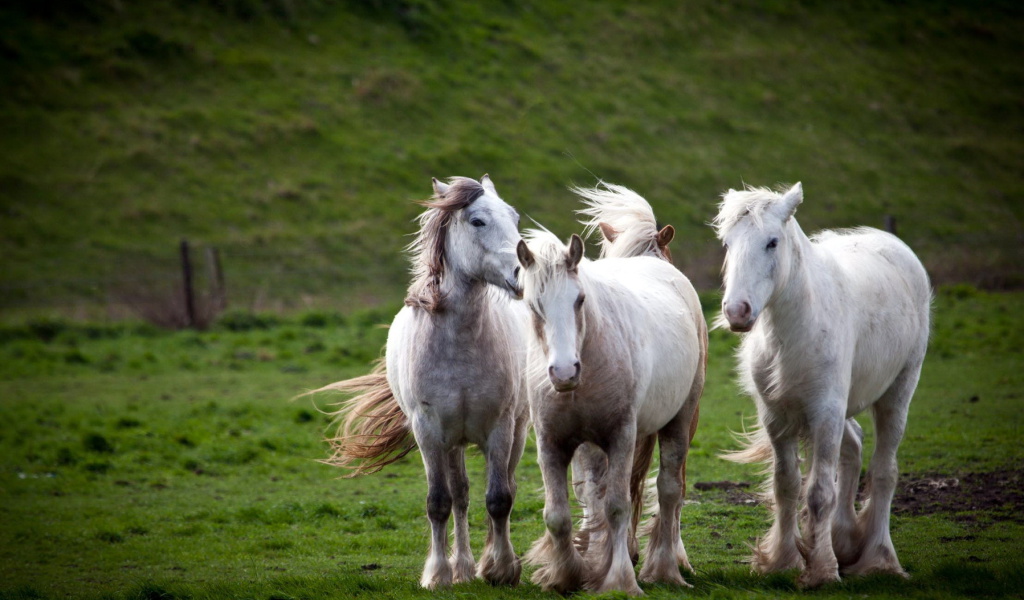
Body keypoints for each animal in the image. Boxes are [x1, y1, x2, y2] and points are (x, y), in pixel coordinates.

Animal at [315, 175, 532, 585]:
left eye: (514, 217)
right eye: (477, 221)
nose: (523, 274)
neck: (460, 345)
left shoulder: (501, 426)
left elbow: (500, 498)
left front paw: (501, 568)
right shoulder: (428, 430)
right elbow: (439, 502)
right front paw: (439, 574)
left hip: (518, 428)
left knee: (501, 487)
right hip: (453, 442)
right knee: (460, 495)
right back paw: (462, 567)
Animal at [520, 225, 704, 593]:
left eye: (579, 299)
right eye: (534, 305)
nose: (564, 372)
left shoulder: (621, 436)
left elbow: (618, 506)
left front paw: (620, 580)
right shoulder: (551, 444)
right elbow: (558, 515)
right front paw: (566, 575)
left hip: (679, 420)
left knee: (669, 490)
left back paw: (664, 569)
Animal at [716, 181, 933, 585]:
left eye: (772, 242)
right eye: (727, 242)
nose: (737, 311)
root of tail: (890, 242)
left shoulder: (826, 412)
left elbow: (818, 492)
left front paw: (822, 570)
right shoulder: (777, 418)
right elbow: (786, 486)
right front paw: (784, 560)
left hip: (897, 393)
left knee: (884, 471)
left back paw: (879, 558)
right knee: (854, 447)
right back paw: (845, 538)